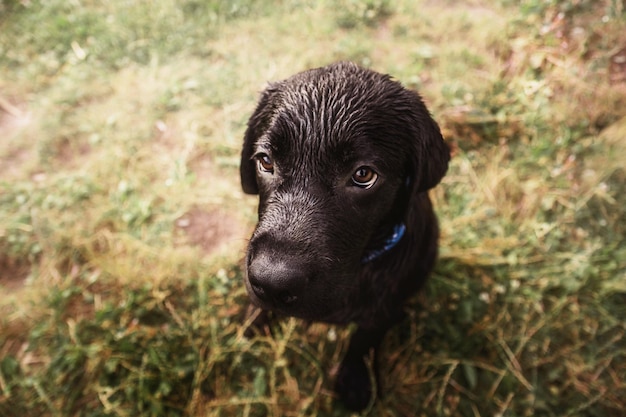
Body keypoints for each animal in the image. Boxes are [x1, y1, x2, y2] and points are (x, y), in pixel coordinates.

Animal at [239, 61, 448, 410]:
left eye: (363, 175)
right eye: (265, 161)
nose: (271, 283)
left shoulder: (383, 309)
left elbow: (362, 340)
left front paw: (354, 379)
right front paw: (253, 320)